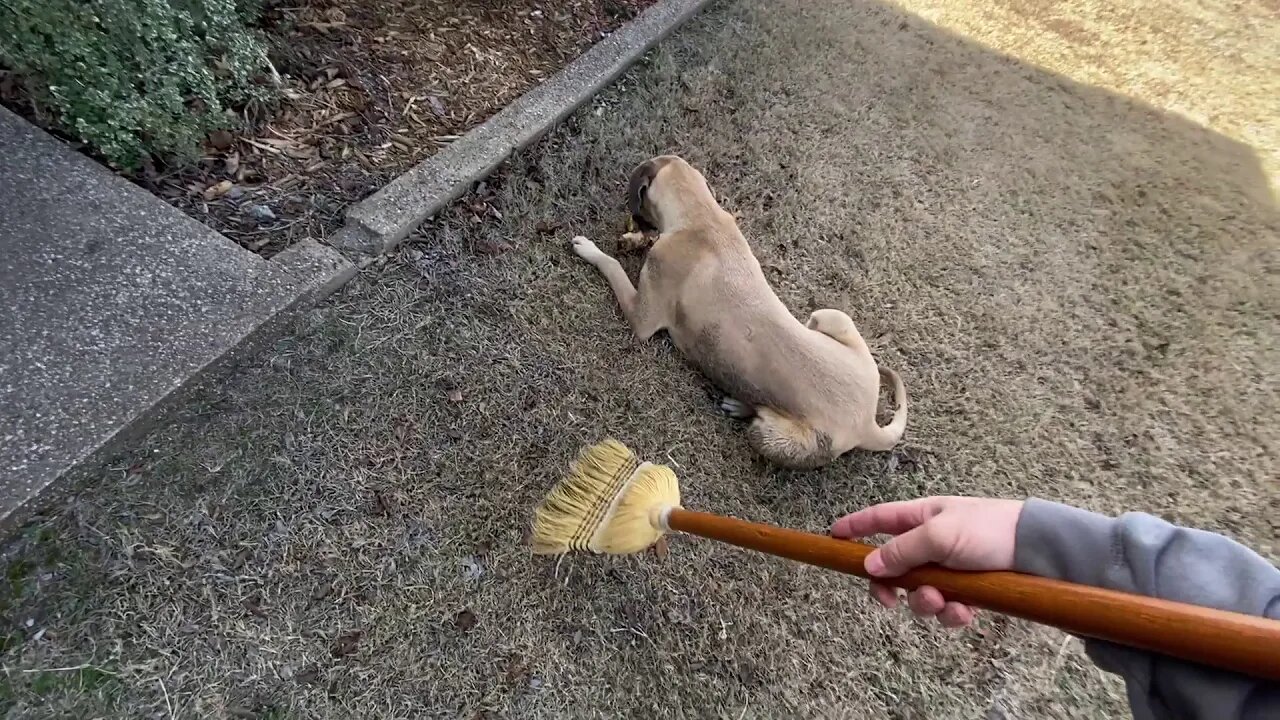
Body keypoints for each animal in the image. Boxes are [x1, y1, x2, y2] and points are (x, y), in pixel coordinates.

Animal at [570, 152, 911, 466]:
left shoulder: (642, 316)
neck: (700, 216)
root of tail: (868, 423)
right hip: (829, 317)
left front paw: (590, 249)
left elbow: (613, 267)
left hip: (769, 435)